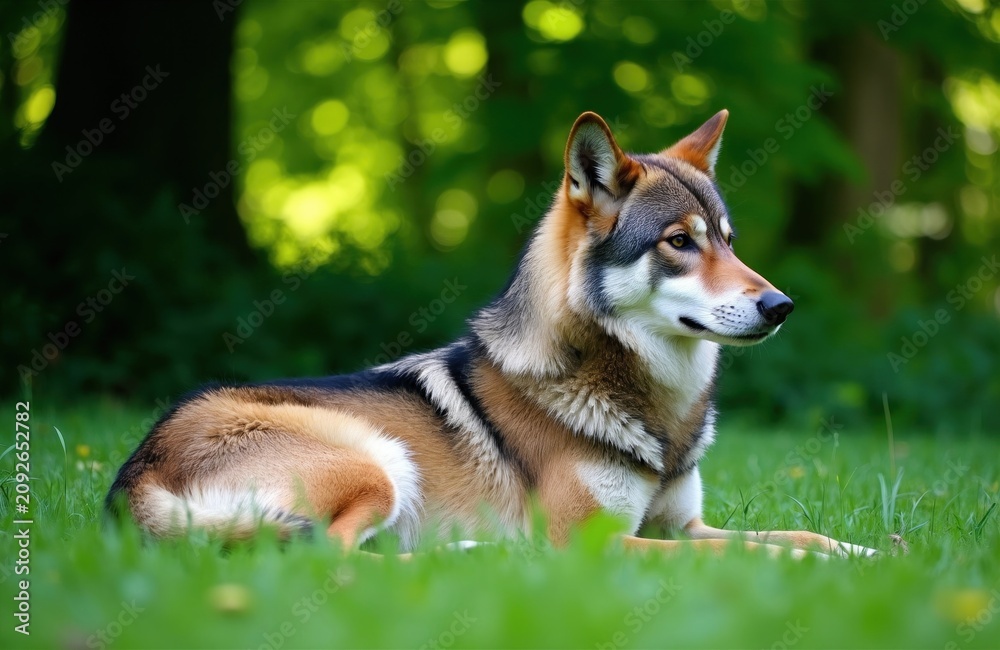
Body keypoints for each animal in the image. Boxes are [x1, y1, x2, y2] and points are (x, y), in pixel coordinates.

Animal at [107, 110, 877, 558]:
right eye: (679, 243)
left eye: (728, 241)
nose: (781, 304)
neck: (656, 411)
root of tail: (130, 477)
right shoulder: (597, 545)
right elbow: (743, 554)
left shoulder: (681, 522)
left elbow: (804, 535)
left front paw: (876, 557)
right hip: (377, 463)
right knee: (330, 557)